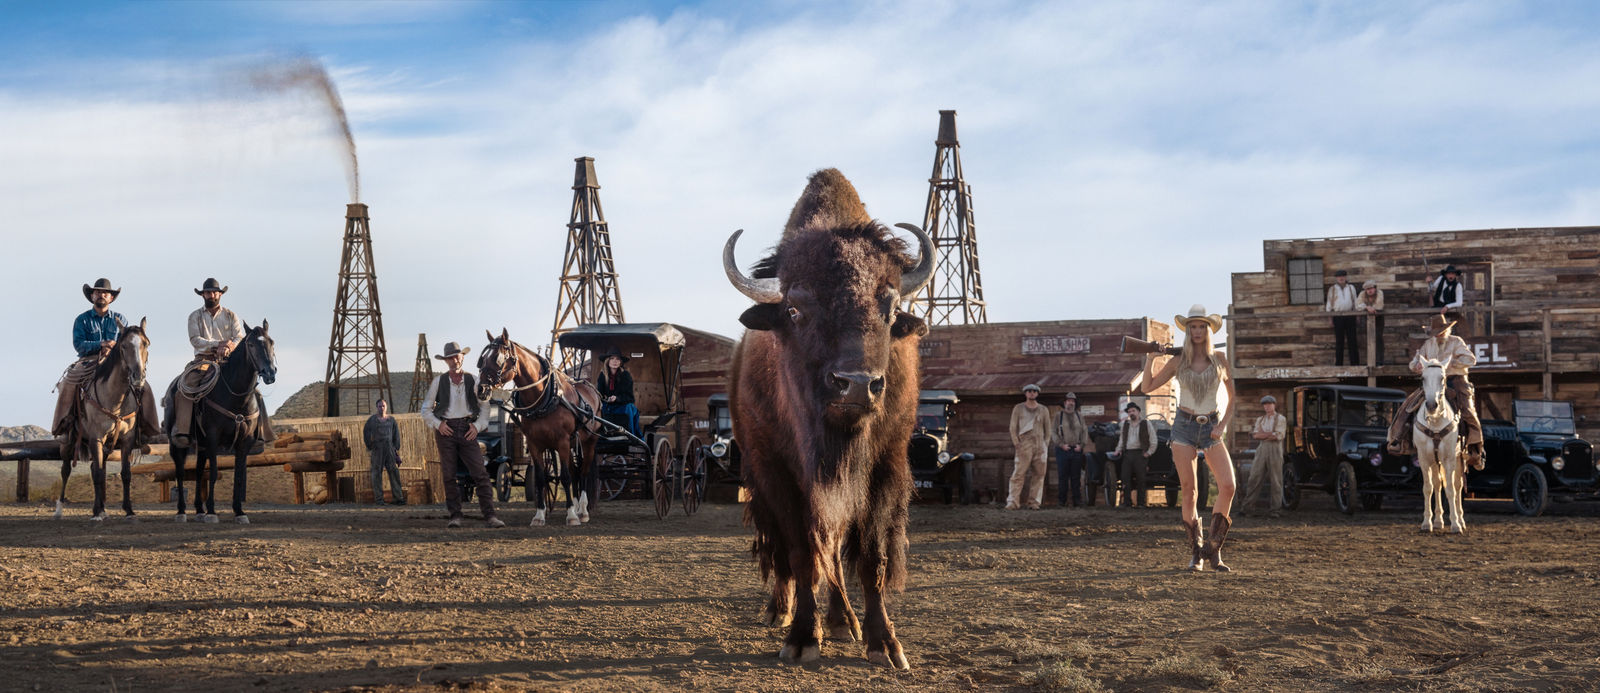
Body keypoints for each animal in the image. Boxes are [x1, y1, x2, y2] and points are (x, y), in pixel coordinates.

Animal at [723, 168, 933, 669]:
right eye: (795, 309)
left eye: (890, 309)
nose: (856, 385)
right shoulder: (778, 472)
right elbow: (800, 553)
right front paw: (801, 638)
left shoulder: (882, 469)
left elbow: (869, 558)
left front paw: (884, 644)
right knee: (784, 551)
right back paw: (779, 611)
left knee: (834, 551)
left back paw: (842, 622)